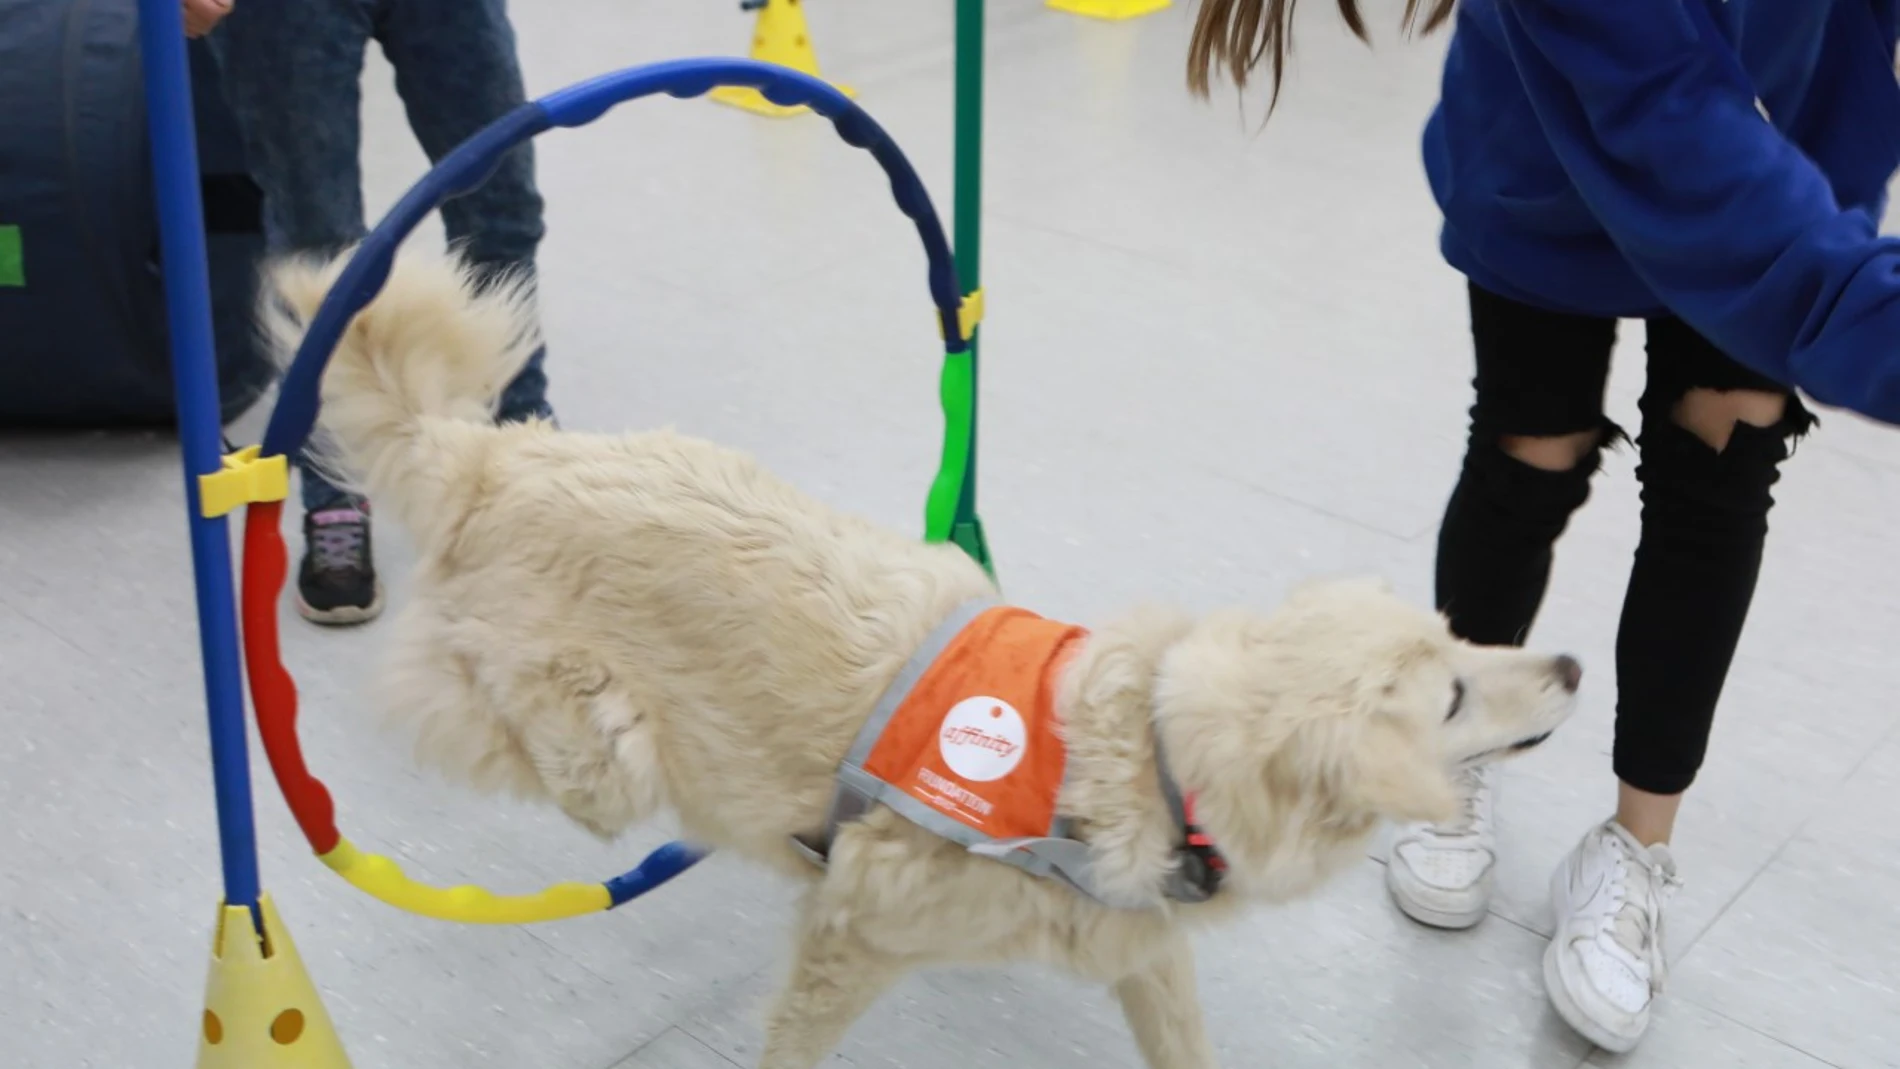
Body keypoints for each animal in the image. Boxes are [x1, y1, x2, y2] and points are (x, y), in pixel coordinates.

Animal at [264, 248, 1573, 1069]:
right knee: (530, 736)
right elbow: (794, 1038)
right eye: (1455, 692)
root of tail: (489, 459)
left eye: (1460, 639)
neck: (1145, 757)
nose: (1567, 666)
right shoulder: (855, 926)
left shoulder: (1144, 952)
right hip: (582, 743)